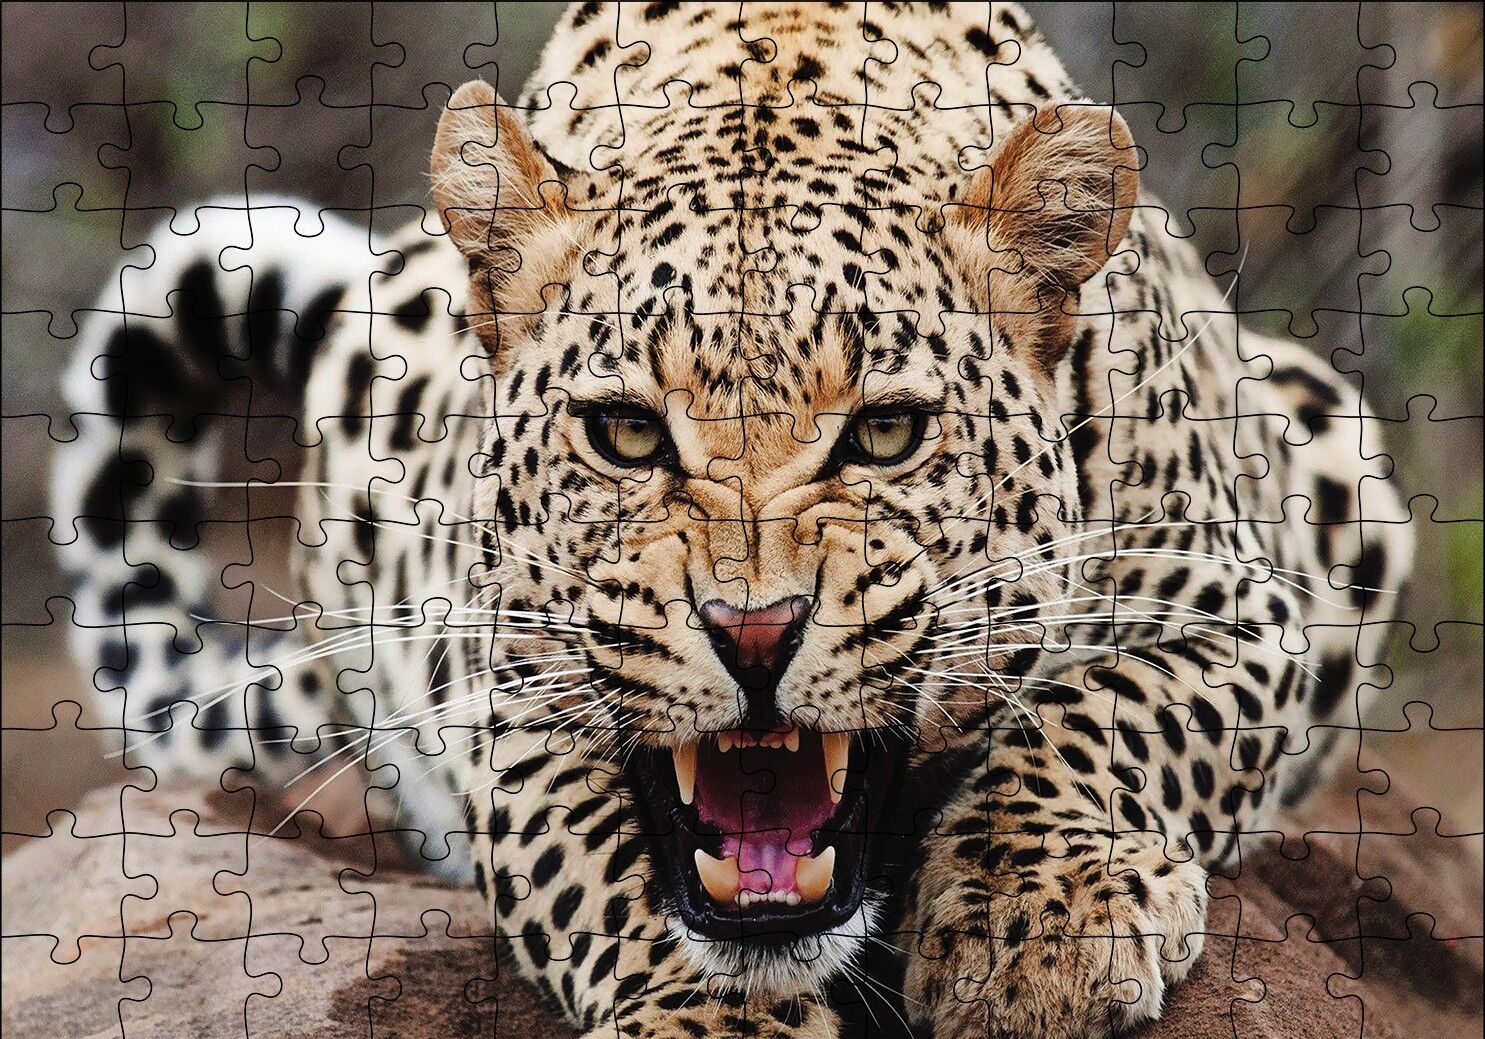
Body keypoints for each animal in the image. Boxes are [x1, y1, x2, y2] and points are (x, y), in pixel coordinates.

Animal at [52, 4, 1414, 1037]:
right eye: (625, 433)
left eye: (885, 433)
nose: (753, 632)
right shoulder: (501, 681)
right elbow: (593, 861)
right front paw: (711, 1019)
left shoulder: (1250, 607)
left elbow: (1108, 712)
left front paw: (1039, 928)